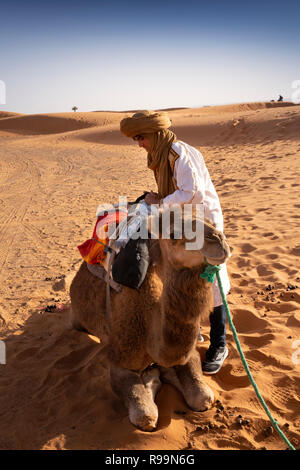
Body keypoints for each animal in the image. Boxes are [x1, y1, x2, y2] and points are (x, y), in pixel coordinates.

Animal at [69, 207, 230, 432]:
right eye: (174, 234)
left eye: (212, 222)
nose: (219, 241)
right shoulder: (120, 361)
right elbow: (144, 415)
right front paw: (150, 383)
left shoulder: (187, 356)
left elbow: (203, 397)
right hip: (77, 319)